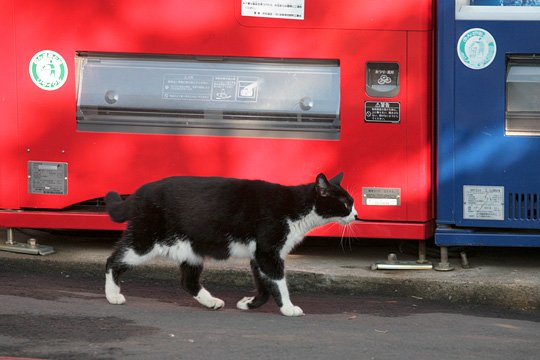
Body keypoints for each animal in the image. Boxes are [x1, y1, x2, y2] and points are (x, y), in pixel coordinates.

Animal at [105, 173, 358, 316]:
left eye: (353, 202)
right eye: (346, 203)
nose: (356, 215)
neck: (297, 207)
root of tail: (138, 192)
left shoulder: (259, 255)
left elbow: (264, 286)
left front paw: (249, 304)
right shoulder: (268, 252)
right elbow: (279, 283)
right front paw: (288, 308)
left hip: (190, 248)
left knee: (188, 281)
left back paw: (211, 302)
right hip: (145, 240)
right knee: (112, 260)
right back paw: (112, 295)